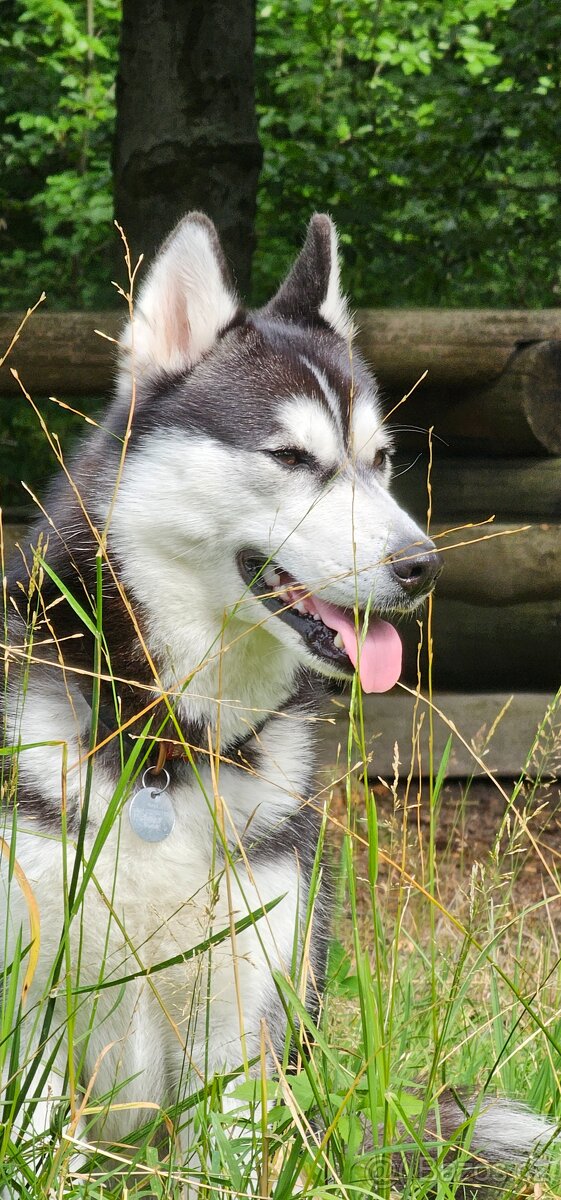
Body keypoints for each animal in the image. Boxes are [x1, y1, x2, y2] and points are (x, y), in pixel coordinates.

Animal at [0, 213, 551, 1180]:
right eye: (292, 459)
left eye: (379, 461)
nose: (423, 567)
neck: (170, 750)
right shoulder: (33, 1016)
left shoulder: (244, 1026)